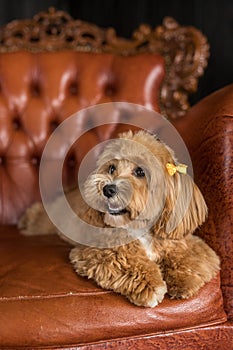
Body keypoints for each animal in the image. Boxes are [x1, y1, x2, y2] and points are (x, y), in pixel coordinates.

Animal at [18, 130, 220, 308]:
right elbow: (129, 261)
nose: (108, 189)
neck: (141, 230)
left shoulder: (184, 242)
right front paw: (152, 285)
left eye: (140, 172)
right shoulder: (96, 252)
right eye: (112, 168)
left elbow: (190, 257)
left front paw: (183, 280)